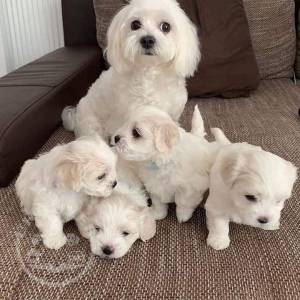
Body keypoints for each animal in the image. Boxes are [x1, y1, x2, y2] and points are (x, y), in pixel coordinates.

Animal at [61, 0, 199, 139]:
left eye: (166, 26)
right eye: (135, 24)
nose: (147, 40)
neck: (150, 73)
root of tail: (75, 118)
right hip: (92, 125)